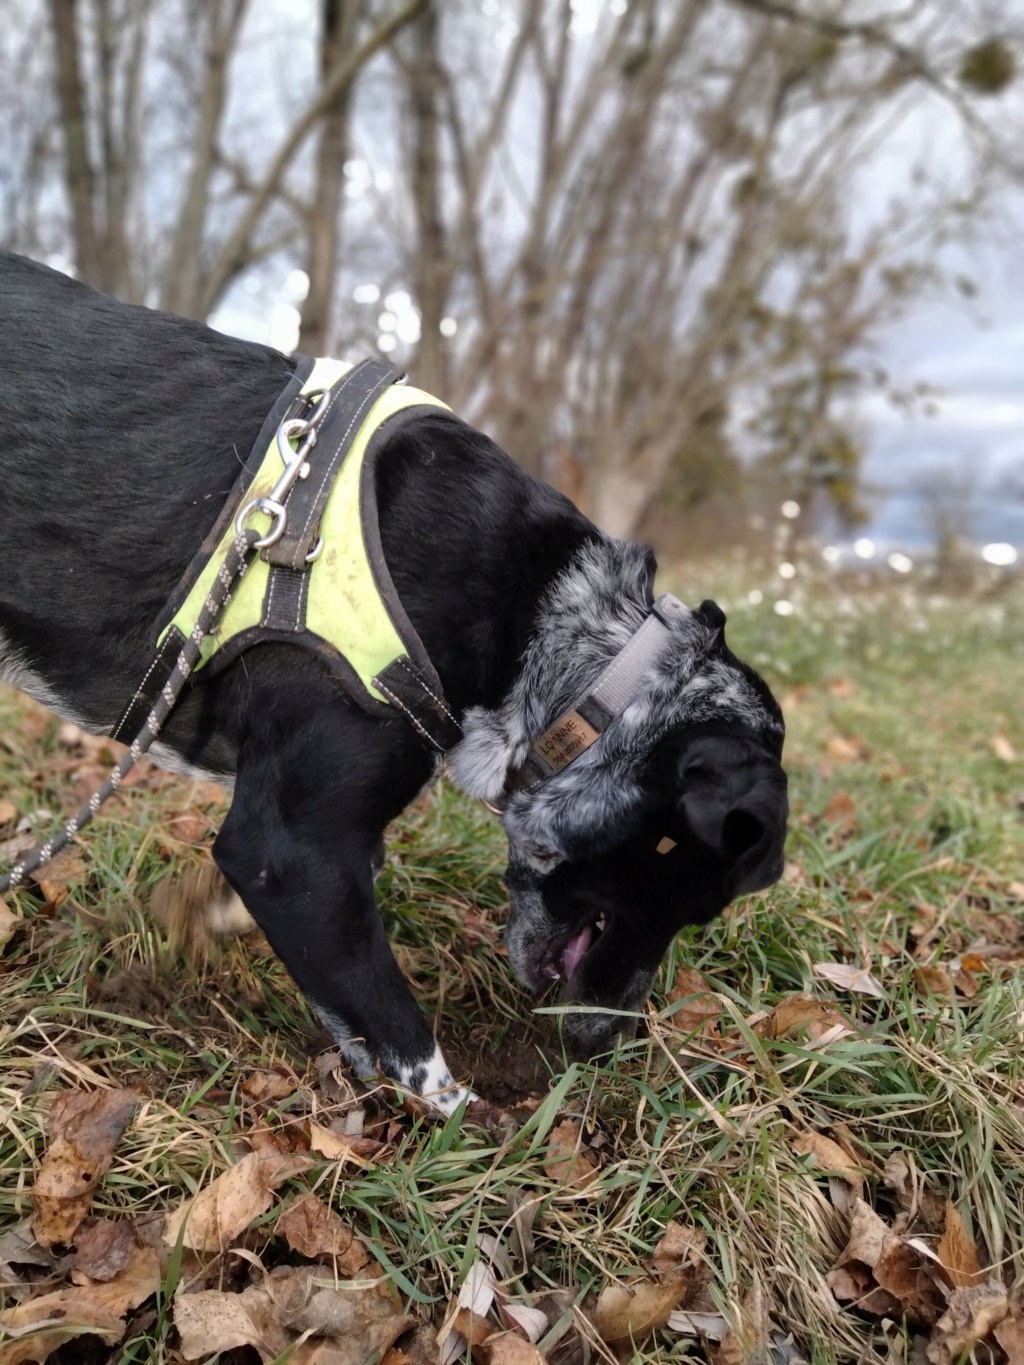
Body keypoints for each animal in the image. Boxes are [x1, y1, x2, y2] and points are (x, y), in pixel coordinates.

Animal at [0, 251, 791, 1113]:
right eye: (698, 900)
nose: (606, 1045)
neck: (564, 635)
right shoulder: (290, 850)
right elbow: (406, 1032)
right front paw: (470, 1127)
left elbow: (342, 992)